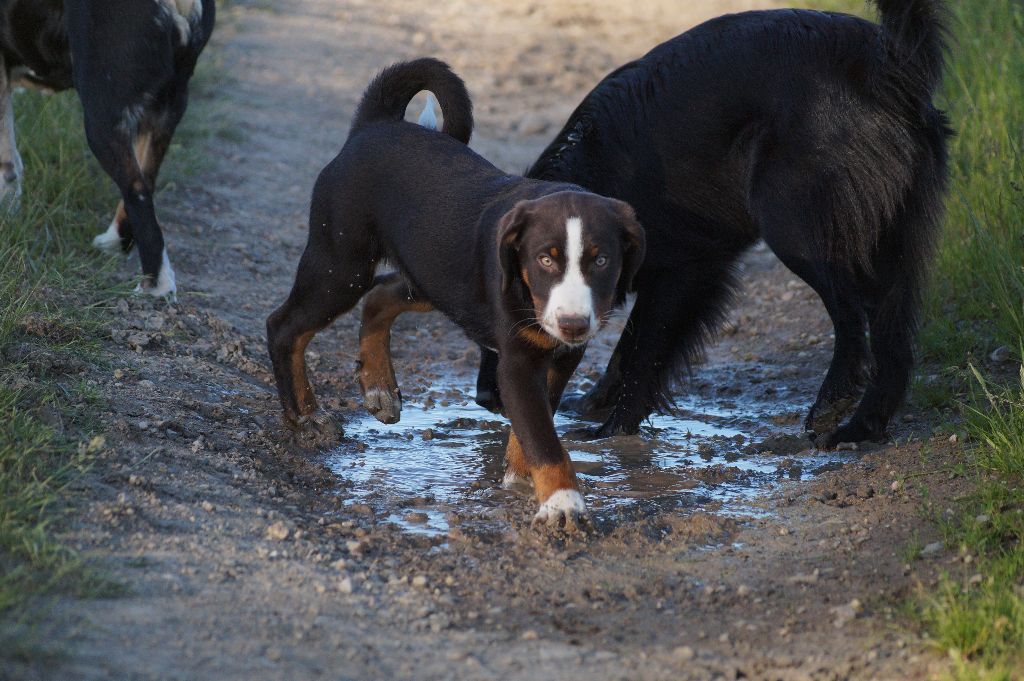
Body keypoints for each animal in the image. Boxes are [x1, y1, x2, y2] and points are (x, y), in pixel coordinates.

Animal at [0, 0, 215, 299]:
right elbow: (11, 162)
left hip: (101, 117)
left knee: (139, 198)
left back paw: (154, 285)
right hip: (164, 110)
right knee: (145, 183)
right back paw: (117, 242)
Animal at [266, 59, 645, 529]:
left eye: (602, 260)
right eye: (545, 259)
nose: (573, 323)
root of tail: (375, 125)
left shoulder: (562, 355)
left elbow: (536, 420)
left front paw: (519, 477)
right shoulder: (517, 360)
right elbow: (542, 434)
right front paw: (563, 503)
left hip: (436, 274)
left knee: (380, 294)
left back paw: (378, 387)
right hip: (340, 265)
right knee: (285, 326)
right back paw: (305, 417)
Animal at [469, 0, 951, 448]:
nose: (485, 398)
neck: (589, 177)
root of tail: (889, 63)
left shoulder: (685, 271)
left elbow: (644, 352)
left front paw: (613, 429)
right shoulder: (693, 274)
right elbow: (628, 351)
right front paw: (593, 404)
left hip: (793, 224)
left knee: (851, 315)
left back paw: (832, 405)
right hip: (892, 240)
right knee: (893, 339)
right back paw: (862, 428)